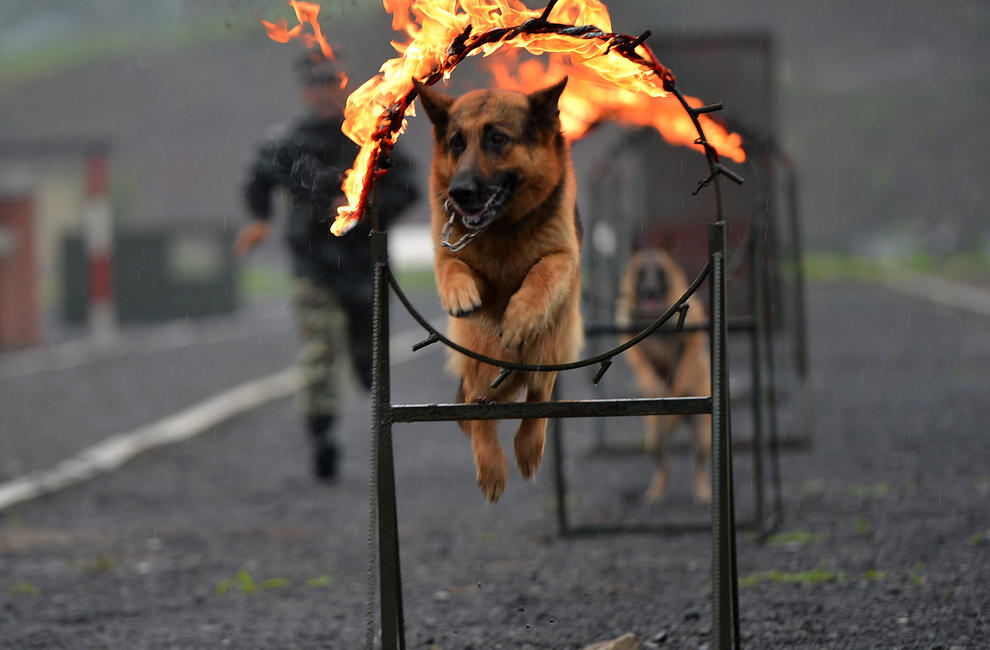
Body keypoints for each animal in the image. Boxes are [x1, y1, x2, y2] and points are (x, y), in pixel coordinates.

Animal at [414, 76, 584, 502]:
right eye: (457, 142)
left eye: (497, 138)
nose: (460, 192)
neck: (502, 228)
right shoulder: (453, 254)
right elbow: (452, 265)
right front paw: (460, 293)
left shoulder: (563, 256)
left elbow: (543, 272)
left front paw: (520, 316)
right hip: (479, 354)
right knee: (478, 408)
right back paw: (491, 466)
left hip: (552, 341)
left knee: (540, 394)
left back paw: (528, 448)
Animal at [616, 243, 708, 502]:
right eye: (640, 273)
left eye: (660, 272)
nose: (650, 292)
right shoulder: (631, 344)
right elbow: (644, 367)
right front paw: (656, 386)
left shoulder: (692, 338)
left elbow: (683, 368)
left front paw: (674, 389)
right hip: (655, 438)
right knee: (663, 466)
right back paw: (656, 493)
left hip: (703, 433)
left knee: (699, 464)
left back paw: (703, 492)